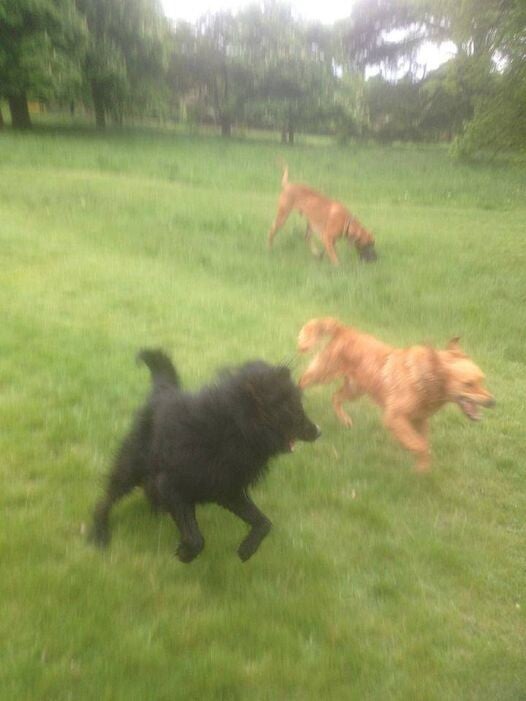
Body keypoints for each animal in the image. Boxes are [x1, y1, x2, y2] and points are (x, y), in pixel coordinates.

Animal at [90, 349, 320, 562]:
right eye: (294, 409)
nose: (319, 431)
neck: (234, 429)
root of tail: (162, 392)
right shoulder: (173, 485)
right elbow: (196, 539)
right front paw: (185, 553)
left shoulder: (229, 492)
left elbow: (264, 522)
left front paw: (247, 549)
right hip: (130, 468)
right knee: (105, 500)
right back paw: (99, 533)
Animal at [297, 318, 494, 471]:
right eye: (468, 384)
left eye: (481, 380)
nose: (492, 402)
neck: (424, 379)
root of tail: (344, 329)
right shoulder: (394, 417)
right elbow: (420, 446)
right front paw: (420, 470)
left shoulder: (419, 420)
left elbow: (423, 445)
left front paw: (422, 467)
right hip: (323, 373)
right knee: (302, 380)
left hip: (355, 389)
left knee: (335, 398)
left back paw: (345, 420)